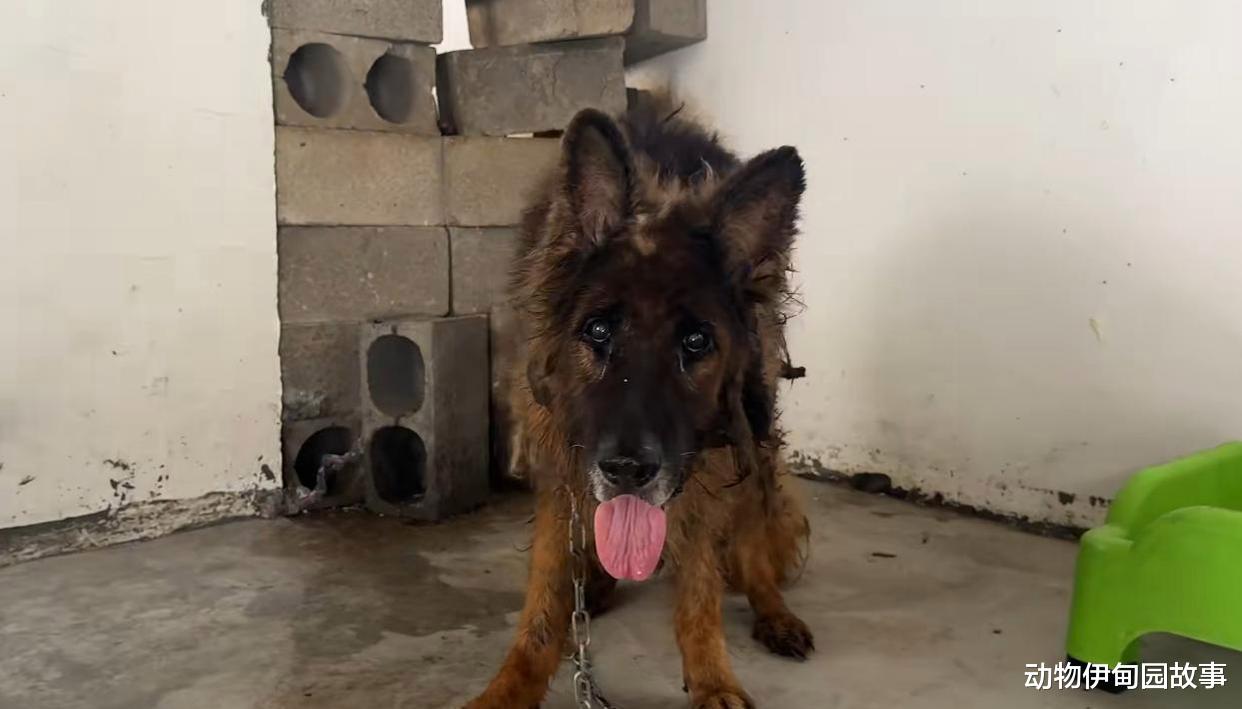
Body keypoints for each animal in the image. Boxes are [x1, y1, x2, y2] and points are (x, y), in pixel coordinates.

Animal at [467, 96, 812, 709]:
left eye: (696, 342)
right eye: (599, 330)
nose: (627, 470)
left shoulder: (710, 466)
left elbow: (700, 587)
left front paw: (713, 680)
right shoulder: (561, 463)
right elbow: (546, 597)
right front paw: (510, 686)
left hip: (756, 447)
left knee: (752, 542)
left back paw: (773, 611)